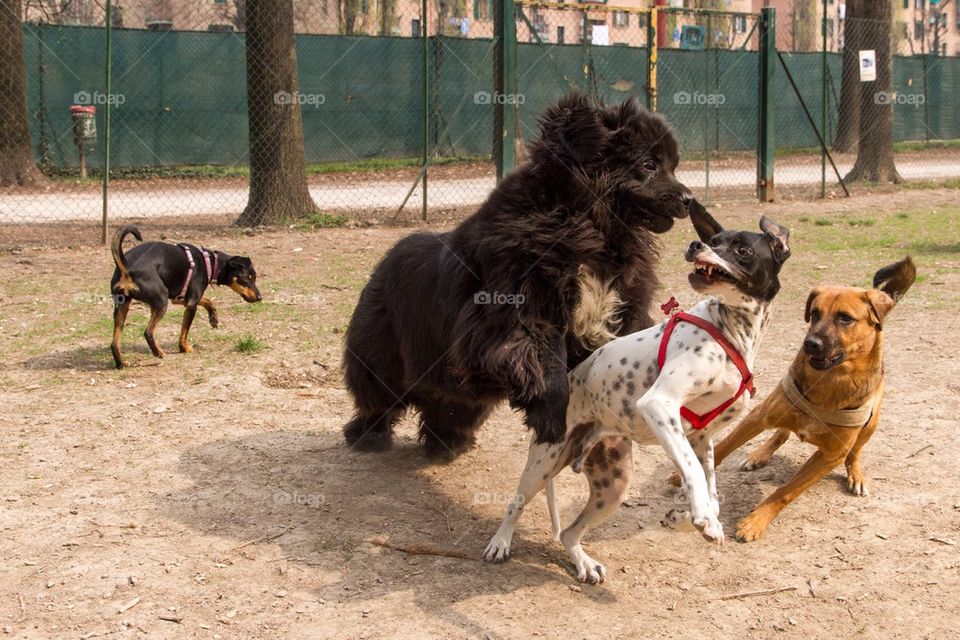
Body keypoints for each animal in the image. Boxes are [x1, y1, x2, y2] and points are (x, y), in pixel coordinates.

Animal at [110, 225, 260, 368]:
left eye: (254, 277)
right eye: (247, 278)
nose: (260, 297)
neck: (211, 263)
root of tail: (127, 267)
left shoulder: (182, 299)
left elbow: (208, 301)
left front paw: (213, 318)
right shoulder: (191, 305)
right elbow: (184, 331)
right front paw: (185, 348)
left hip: (122, 307)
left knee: (114, 343)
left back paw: (121, 363)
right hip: (161, 302)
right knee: (148, 332)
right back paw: (158, 352)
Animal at [342, 92, 692, 458]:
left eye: (672, 165)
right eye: (649, 165)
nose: (689, 199)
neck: (592, 228)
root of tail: (384, 261)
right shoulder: (519, 312)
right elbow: (547, 360)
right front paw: (551, 420)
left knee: (449, 404)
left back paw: (447, 442)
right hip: (381, 355)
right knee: (378, 398)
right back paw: (369, 436)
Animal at [704, 255, 916, 540]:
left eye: (845, 318)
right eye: (814, 313)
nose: (811, 343)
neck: (830, 381)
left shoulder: (830, 456)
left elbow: (786, 491)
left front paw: (756, 520)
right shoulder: (760, 415)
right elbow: (725, 446)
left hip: (872, 423)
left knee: (855, 453)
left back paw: (856, 475)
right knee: (780, 433)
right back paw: (758, 455)